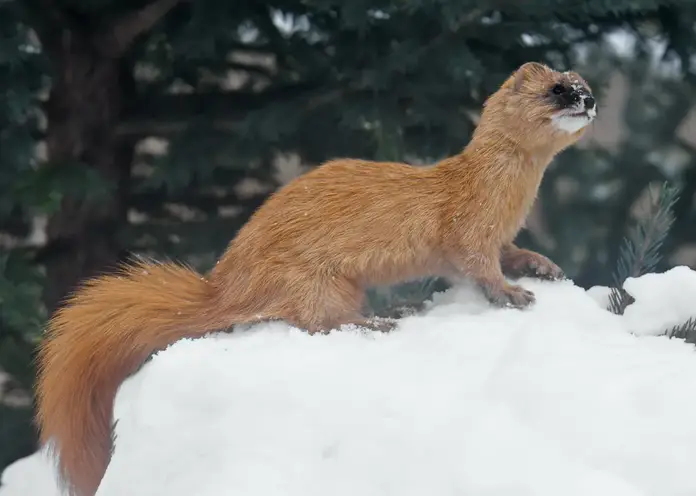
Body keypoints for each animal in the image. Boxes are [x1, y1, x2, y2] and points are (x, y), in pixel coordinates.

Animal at [35, 63, 596, 496]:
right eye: (557, 88)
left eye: (585, 84)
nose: (588, 101)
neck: (507, 198)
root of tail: (226, 283)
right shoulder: (467, 230)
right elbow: (478, 266)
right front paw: (513, 294)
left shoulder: (499, 237)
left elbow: (511, 253)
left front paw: (543, 265)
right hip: (314, 280)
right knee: (317, 321)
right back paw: (381, 320)